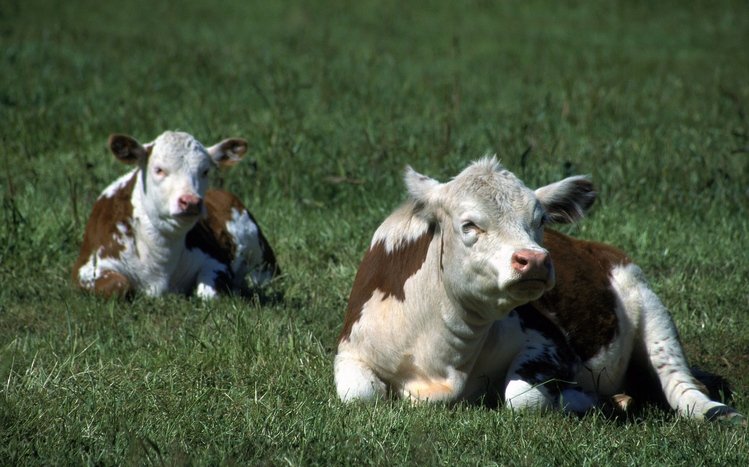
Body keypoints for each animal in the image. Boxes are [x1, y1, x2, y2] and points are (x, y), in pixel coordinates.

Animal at [72, 131, 279, 299]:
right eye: (158, 169)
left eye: (205, 171)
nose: (191, 201)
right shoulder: (85, 270)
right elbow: (118, 285)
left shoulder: (216, 260)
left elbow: (208, 294)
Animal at [334, 157, 744, 424]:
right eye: (469, 225)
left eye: (540, 220)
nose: (533, 260)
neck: (440, 355)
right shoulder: (351, 348)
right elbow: (359, 395)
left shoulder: (551, 343)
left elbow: (521, 396)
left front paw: (586, 400)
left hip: (649, 303)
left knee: (681, 385)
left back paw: (713, 411)